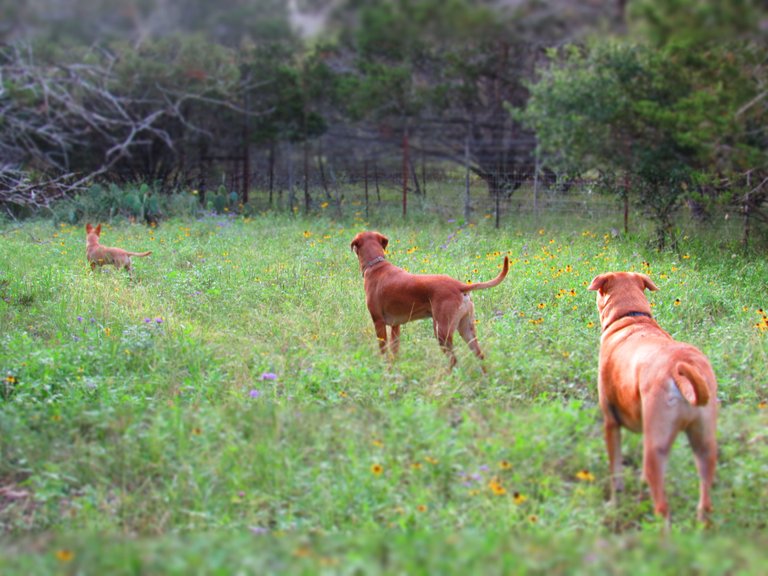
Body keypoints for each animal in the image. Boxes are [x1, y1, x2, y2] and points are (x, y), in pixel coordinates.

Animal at [350, 231, 508, 368]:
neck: (376, 265)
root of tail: (459, 286)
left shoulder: (379, 322)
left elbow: (383, 351)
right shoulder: (396, 326)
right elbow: (394, 353)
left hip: (442, 332)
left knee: (454, 360)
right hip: (466, 329)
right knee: (480, 356)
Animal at [588, 272, 720, 520]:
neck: (631, 317)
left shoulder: (611, 422)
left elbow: (615, 472)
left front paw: (614, 503)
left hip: (657, 448)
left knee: (663, 508)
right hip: (704, 444)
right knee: (705, 503)